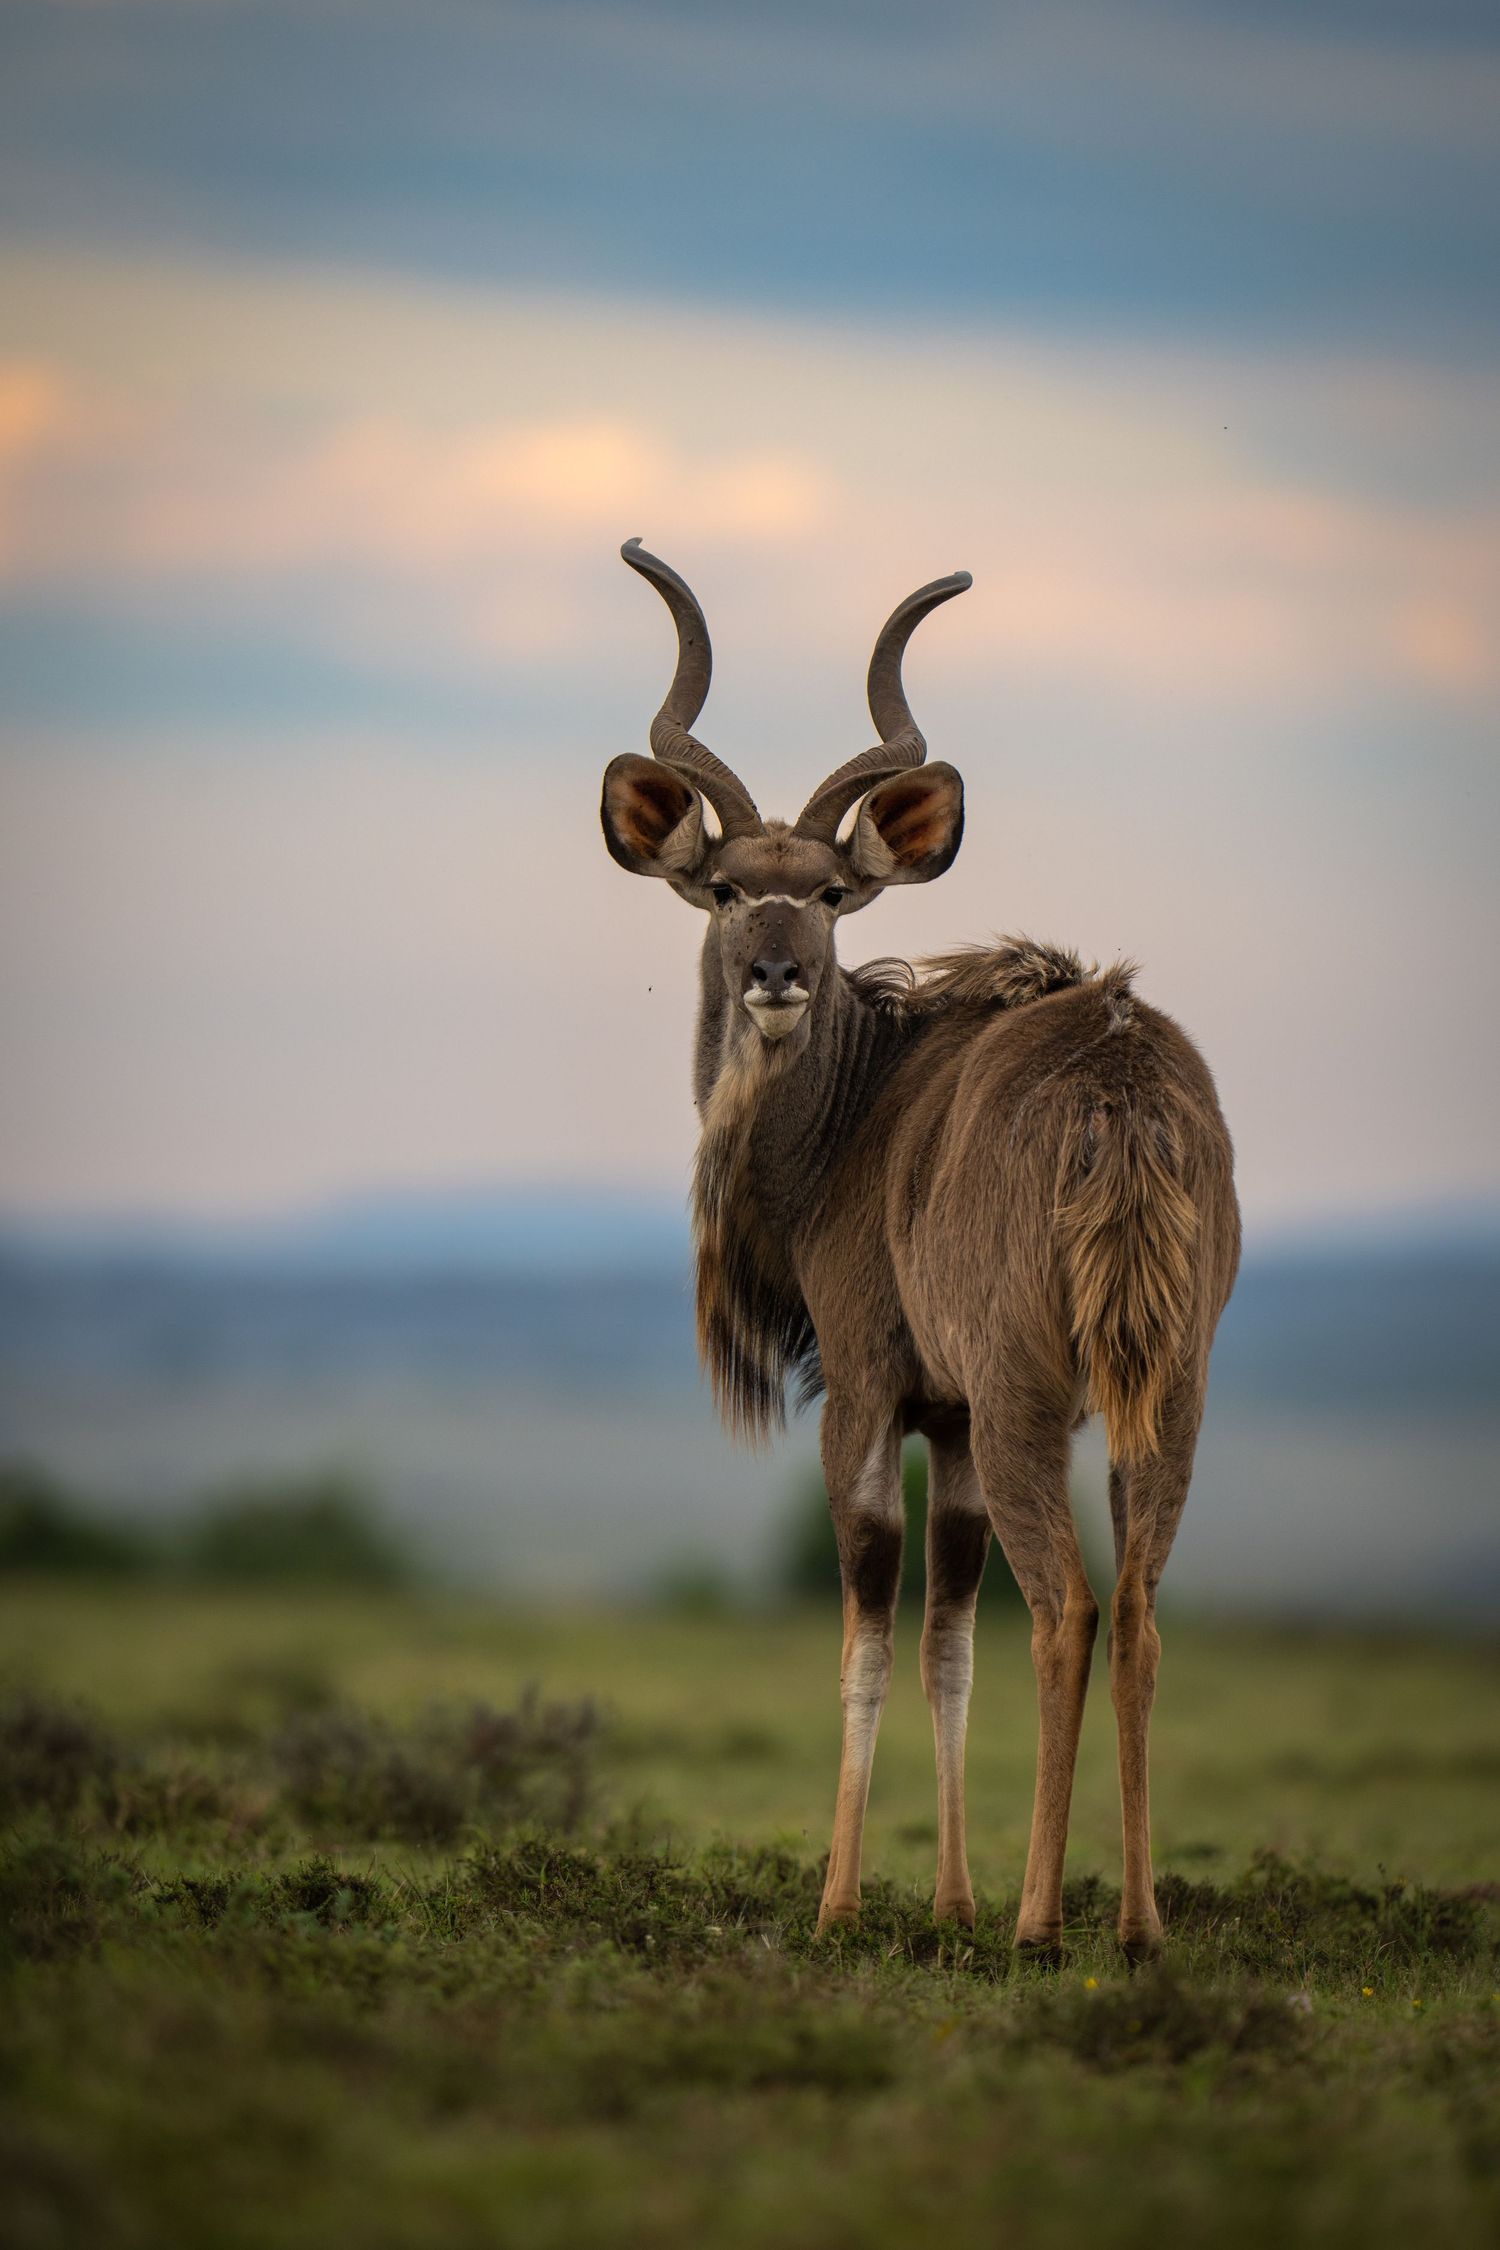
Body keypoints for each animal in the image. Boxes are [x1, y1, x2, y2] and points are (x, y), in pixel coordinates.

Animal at [601, 539, 1240, 1958]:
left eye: (834, 894)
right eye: (728, 888)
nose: (778, 974)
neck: (858, 1111)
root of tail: (1124, 1088)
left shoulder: (873, 1390)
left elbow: (869, 1634)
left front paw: (843, 1902)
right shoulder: (944, 1423)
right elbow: (949, 1636)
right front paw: (946, 1901)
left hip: (1025, 1398)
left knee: (1068, 1611)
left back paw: (1042, 1925)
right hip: (1163, 1393)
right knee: (1142, 1614)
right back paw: (1140, 1926)